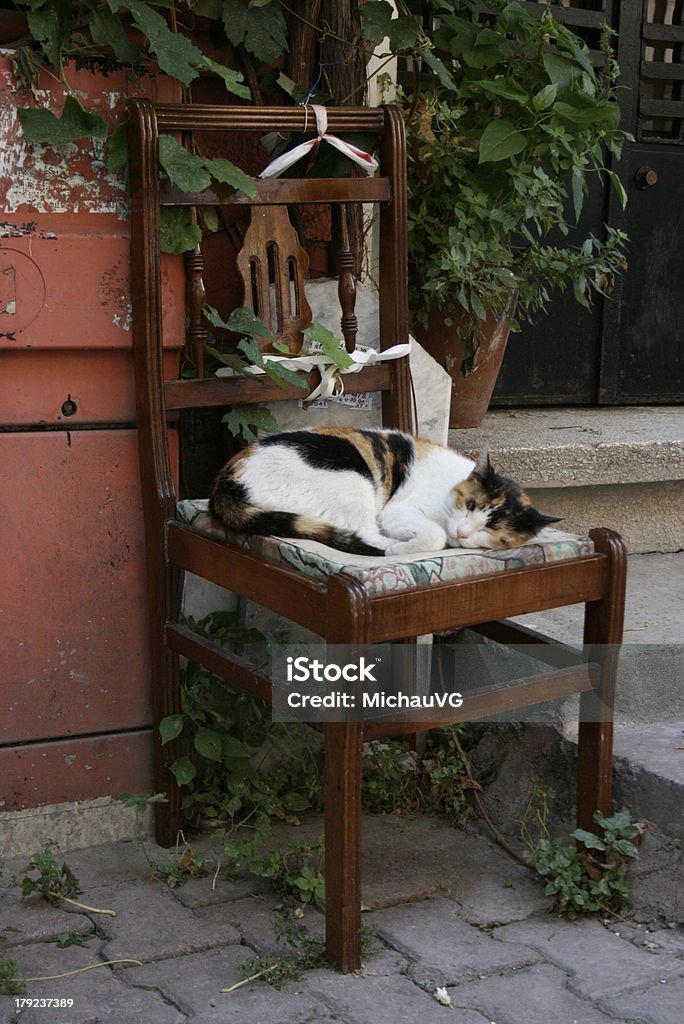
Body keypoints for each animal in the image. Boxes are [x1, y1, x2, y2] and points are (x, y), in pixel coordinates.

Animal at [210, 425, 565, 561]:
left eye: (493, 532)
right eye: (470, 504)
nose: (463, 533)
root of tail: (227, 479)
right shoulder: (397, 511)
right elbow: (435, 534)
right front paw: (406, 545)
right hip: (352, 476)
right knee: (364, 532)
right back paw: (390, 547)